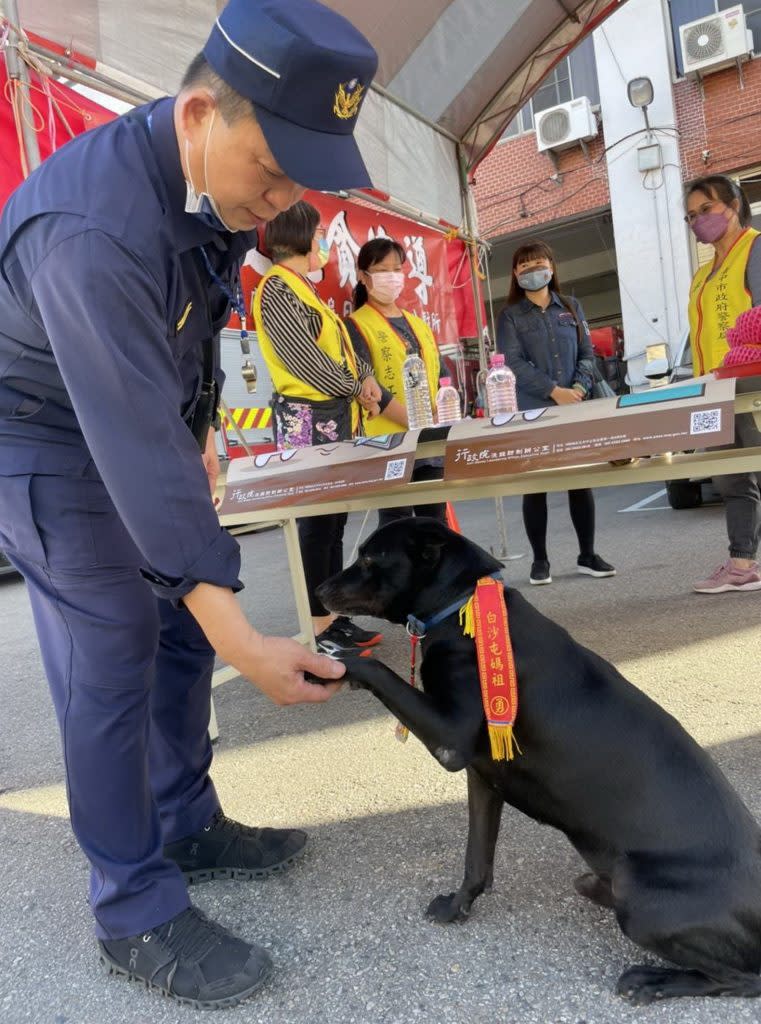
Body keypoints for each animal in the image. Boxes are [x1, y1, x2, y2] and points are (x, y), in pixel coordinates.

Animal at [317, 516, 761, 1003]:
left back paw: (652, 981)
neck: (461, 605)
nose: (318, 590)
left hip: (640, 895)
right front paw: (458, 907)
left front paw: (337, 659)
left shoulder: (450, 741)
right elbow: (476, 857)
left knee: (742, 979)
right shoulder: (482, 776)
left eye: (369, 559)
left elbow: (375, 669)